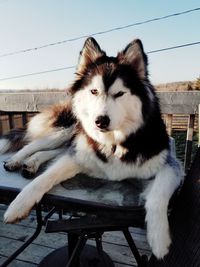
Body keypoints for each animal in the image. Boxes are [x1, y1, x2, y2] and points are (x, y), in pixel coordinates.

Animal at [0, 37, 184, 260]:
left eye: (119, 93)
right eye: (94, 91)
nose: (100, 121)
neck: (114, 142)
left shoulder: (170, 164)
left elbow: (158, 196)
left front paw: (159, 240)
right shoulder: (78, 154)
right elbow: (43, 179)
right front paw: (18, 205)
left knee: (53, 151)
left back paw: (31, 163)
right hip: (69, 129)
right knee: (35, 144)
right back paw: (16, 160)